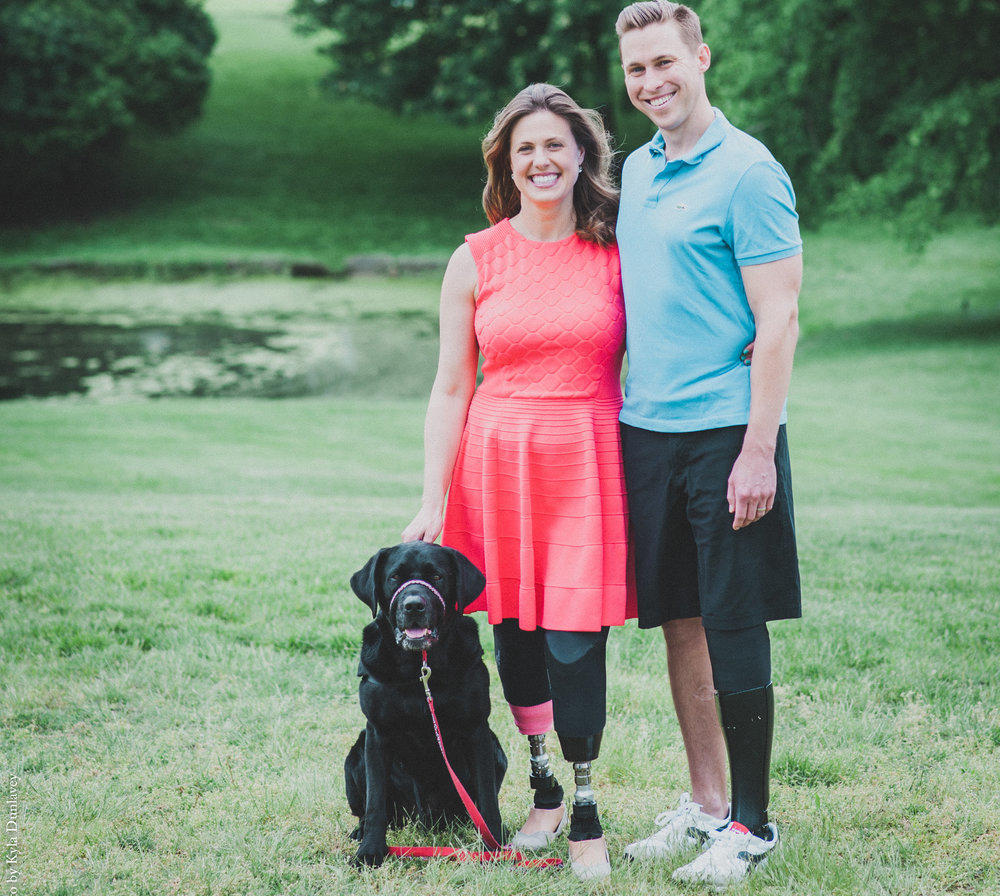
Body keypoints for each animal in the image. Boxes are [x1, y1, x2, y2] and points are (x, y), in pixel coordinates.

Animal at [348, 544, 512, 864]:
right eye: (394, 577)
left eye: (437, 576)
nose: (413, 606)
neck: (419, 667)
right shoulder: (377, 733)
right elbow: (375, 802)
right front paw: (371, 851)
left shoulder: (477, 729)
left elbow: (487, 798)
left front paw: (495, 844)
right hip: (355, 755)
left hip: (497, 750)